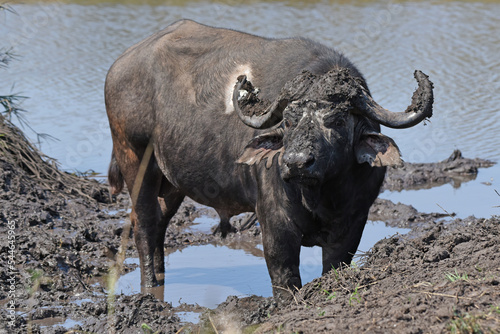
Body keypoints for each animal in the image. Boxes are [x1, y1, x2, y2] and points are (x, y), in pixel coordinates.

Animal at [105, 18, 434, 300]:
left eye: (338, 121)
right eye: (288, 120)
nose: (297, 162)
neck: (320, 195)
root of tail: (119, 66)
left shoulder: (353, 221)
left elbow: (335, 265)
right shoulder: (275, 223)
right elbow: (284, 275)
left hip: (172, 180)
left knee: (159, 223)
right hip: (134, 157)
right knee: (144, 224)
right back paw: (150, 285)